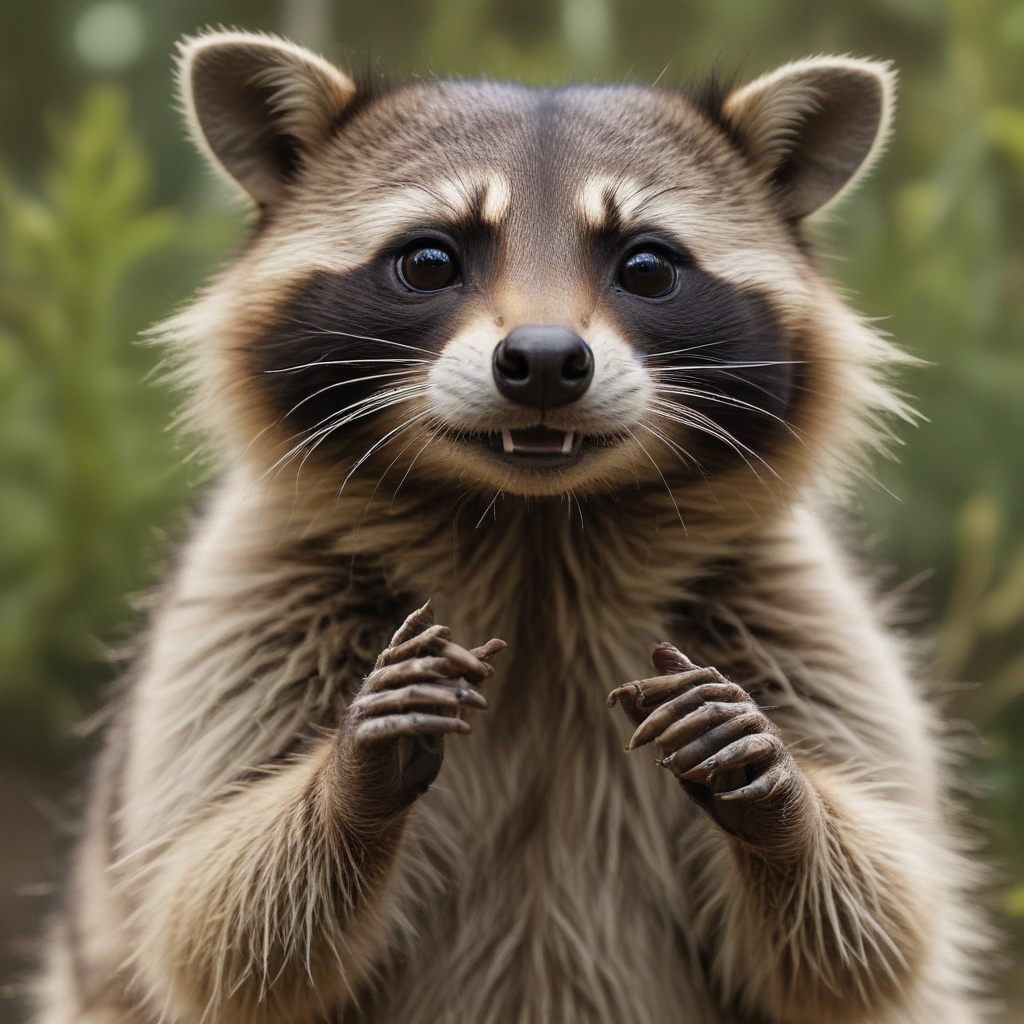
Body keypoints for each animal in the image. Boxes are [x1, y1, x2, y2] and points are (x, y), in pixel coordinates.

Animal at [33, 30, 989, 1024]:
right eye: (429, 261)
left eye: (646, 266)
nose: (542, 361)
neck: (537, 530)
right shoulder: (253, 601)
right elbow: (207, 917)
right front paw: (349, 780)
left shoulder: (791, 612)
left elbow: (875, 937)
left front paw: (783, 800)